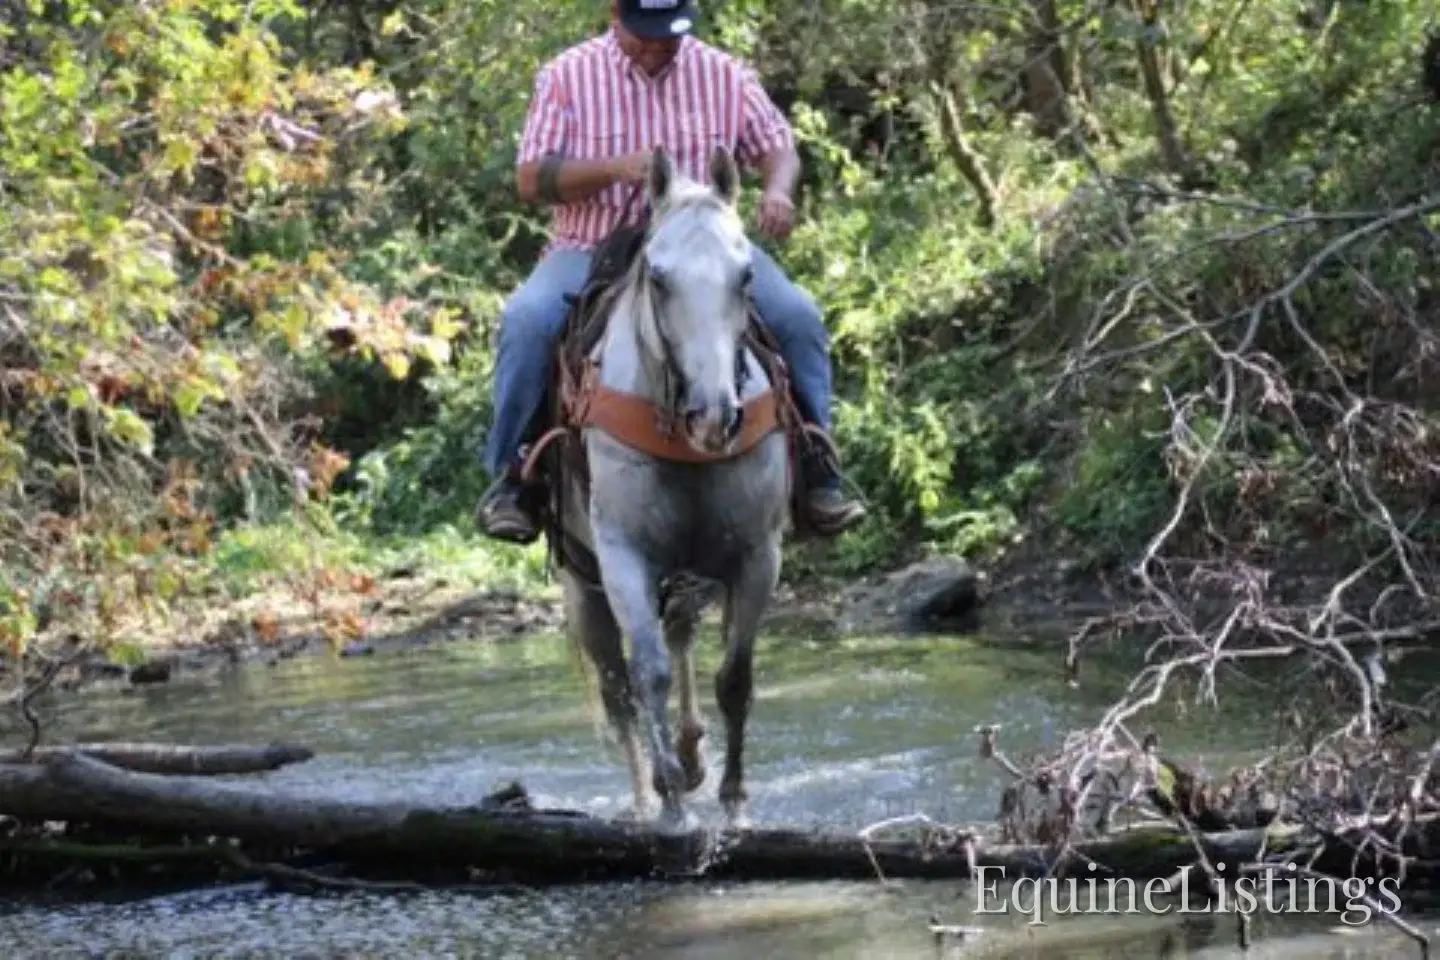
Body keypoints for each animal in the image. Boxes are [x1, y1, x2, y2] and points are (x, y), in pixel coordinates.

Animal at [534, 144, 799, 831]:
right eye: (657, 278)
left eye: (746, 277)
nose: (715, 415)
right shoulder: (624, 555)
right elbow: (645, 673)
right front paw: (674, 803)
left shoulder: (757, 555)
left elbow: (735, 677)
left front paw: (733, 801)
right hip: (584, 585)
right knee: (618, 688)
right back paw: (646, 794)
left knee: (679, 634)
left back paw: (692, 753)